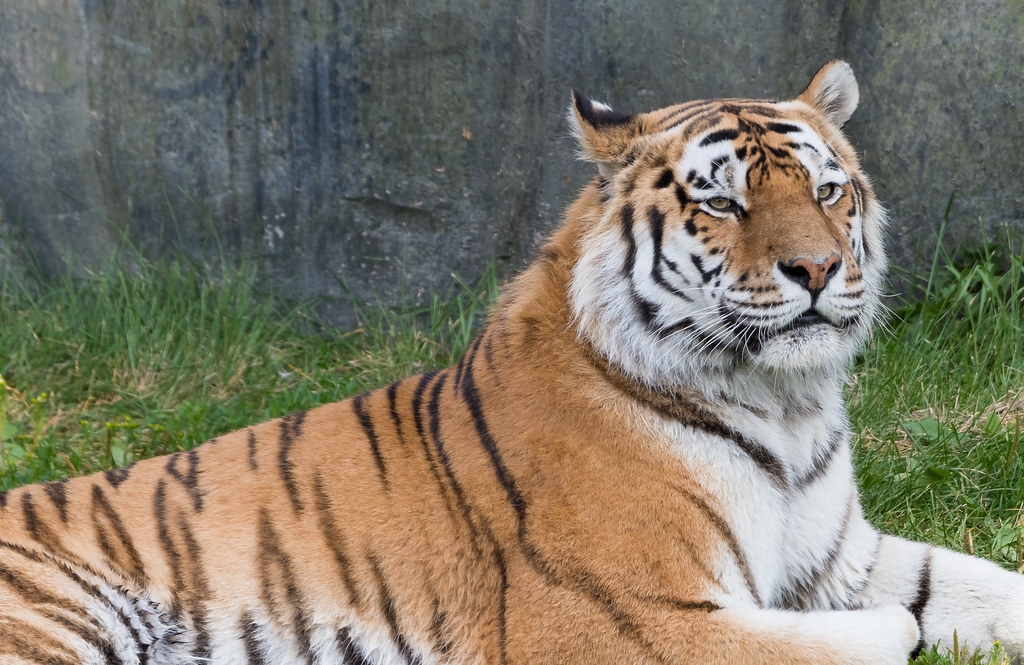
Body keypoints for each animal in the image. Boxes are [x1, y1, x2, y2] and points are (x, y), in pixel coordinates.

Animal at [1, 60, 1022, 665]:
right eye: (723, 203)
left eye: (827, 191)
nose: (817, 269)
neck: (785, 402)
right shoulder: (631, 616)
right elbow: (881, 631)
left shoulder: (843, 559)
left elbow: (971, 587)